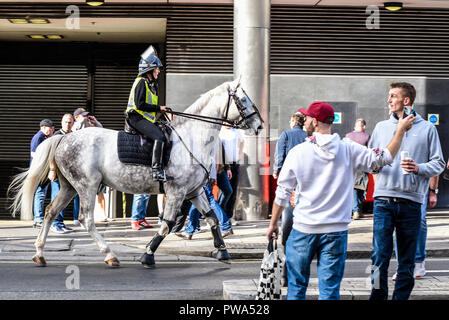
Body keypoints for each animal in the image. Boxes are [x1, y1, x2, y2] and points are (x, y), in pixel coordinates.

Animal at [8, 79, 262, 268]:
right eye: (242, 99)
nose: (259, 125)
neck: (191, 138)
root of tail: (63, 138)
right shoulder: (177, 191)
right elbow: (167, 223)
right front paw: (148, 254)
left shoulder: (194, 191)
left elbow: (212, 217)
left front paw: (222, 251)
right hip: (87, 186)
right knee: (85, 219)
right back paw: (110, 254)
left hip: (70, 187)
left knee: (51, 212)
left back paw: (40, 253)